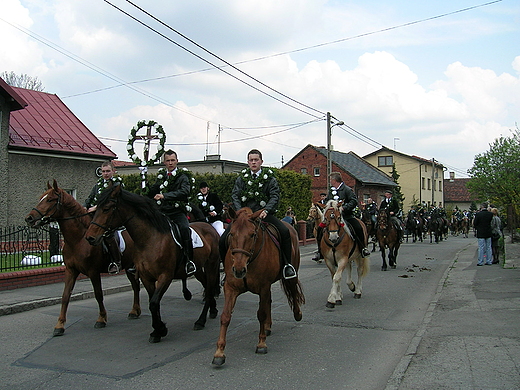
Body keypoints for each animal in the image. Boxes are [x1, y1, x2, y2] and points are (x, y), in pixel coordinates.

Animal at [24, 180, 141, 336]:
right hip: (128, 266)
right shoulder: (70, 270)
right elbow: (65, 296)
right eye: (41, 198)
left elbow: (98, 294)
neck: (77, 239)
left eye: (50, 199)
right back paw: (135, 311)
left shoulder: (93, 272)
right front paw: (59, 325)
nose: (29, 218)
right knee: (135, 286)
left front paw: (101, 319)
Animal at [84, 184, 221, 342]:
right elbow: (153, 302)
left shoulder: (165, 276)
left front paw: (160, 329)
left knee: (210, 289)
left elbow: (154, 303)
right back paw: (213, 310)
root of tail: (209, 227)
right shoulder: (146, 277)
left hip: (212, 265)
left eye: (106, 209)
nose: (90, 237)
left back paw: (200, 321)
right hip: (198, 269)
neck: (149, 239)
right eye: (97, 208)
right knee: (207, 286)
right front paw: (157, 330)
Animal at [213, 207, 306, 366]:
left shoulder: (263, 286)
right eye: (231, 234)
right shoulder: (231, 288)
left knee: (293, 290)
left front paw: (261, 344)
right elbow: (225, 316)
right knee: (269, 301)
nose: (239, 270)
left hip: (290, 273)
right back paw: (268, 326)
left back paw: (297, 313)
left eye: (252, 234)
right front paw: (219, 352)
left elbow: (261, 314)